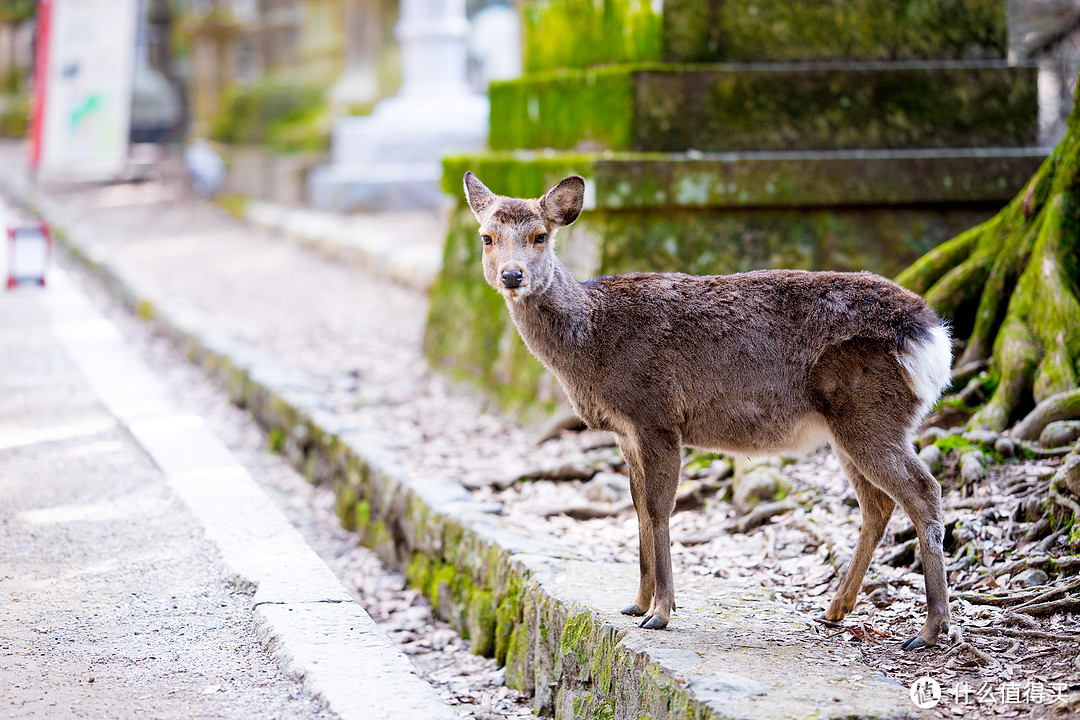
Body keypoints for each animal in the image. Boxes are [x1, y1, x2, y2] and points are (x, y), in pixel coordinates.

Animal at [464, 171, 954, 651]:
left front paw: (661, 613)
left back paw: (929, 630)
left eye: (540, 235)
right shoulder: (625, 430)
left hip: (870, 412)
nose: (512, 275)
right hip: (850, 427)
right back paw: (836, 609)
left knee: (924, 490)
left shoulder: (655, 414)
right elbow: (638, 507)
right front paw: (636, 603)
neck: (591, 344)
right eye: (486, 237)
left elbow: (659, 509)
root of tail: (934, 337)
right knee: (878, 503)